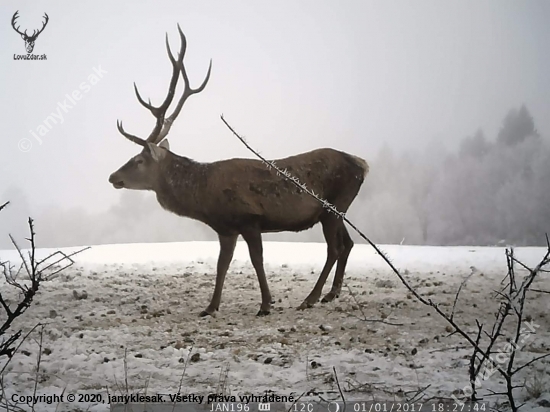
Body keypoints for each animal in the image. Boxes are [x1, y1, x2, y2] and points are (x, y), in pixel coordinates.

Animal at [109, 25, 370, 316]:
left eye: (138, 160)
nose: (113, 177)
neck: (204, 198)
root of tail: (362, 165)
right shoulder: (226, 228)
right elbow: (222, 264)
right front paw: (210, 307)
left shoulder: (249, 218)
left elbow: (257, 260)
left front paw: (266, 304)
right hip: (337, 209)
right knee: (348, 243)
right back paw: (331, 294)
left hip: (332, 206)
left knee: (334, 248)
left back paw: (310, 298)